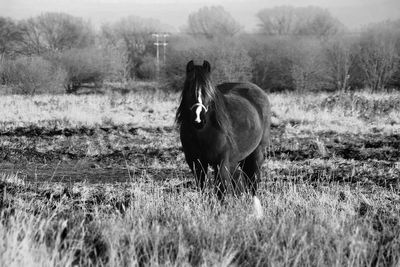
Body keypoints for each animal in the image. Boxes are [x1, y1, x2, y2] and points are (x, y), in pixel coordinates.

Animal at [176, 60, 272, 203]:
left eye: (209, 91)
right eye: (188, 89)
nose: (198, 120)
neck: (203, 134)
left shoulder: (221, 162)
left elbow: (221, 190)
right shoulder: (196, 163)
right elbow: (202, 188)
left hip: (256, 153)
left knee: (253, 180)